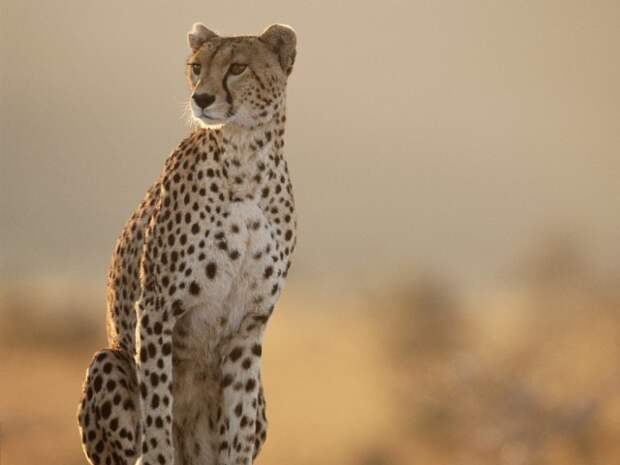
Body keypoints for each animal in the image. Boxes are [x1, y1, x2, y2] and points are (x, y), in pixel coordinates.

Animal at [76, 22, 296, 464]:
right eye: (196, 67)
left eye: (238, 68)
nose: (202, 98)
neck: (247, 161)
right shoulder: (157, 308)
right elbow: (158, 406)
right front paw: (161, 451)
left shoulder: (249, 326)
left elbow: (238, 423)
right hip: (108, 360)